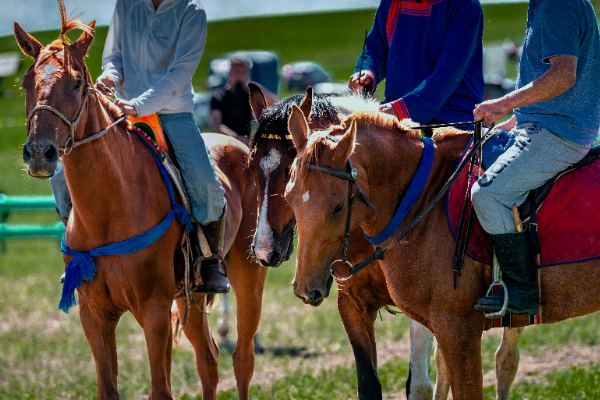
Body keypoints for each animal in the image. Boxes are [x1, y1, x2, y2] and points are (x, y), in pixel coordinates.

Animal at [246, 86, 524, 398]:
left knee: (505, 360)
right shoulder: (352, 304)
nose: (265, 250)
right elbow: (369, 382)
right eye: (251, 167)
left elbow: (420, 384)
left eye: (288, 168)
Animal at [286, 107, 600, 400]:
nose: (305, 287)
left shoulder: (458, 329)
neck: (421, 198)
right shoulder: (364, 308)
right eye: (289, 198)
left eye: (338, 207)